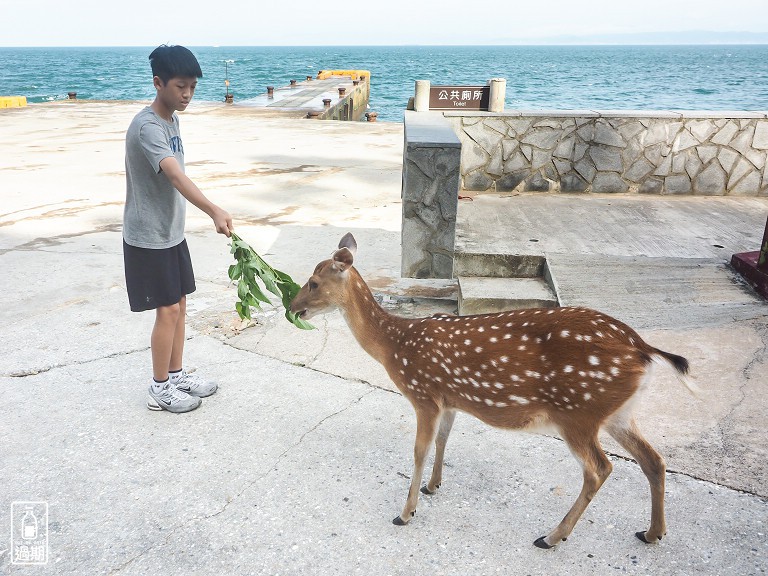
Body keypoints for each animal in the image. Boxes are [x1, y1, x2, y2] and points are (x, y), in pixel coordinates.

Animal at [292, 232, 700, 548]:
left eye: (313, 282)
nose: (294, 308)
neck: (396, 344)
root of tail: (643, 349)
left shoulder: (423, 394)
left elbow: (419, 450)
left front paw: (405, 513)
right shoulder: (449, 400)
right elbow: (443, 440)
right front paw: (433, 487)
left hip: (578, 413)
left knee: (600, 469)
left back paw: (551, 537)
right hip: (618, 412)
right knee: (654, 460)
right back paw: (652, 533)